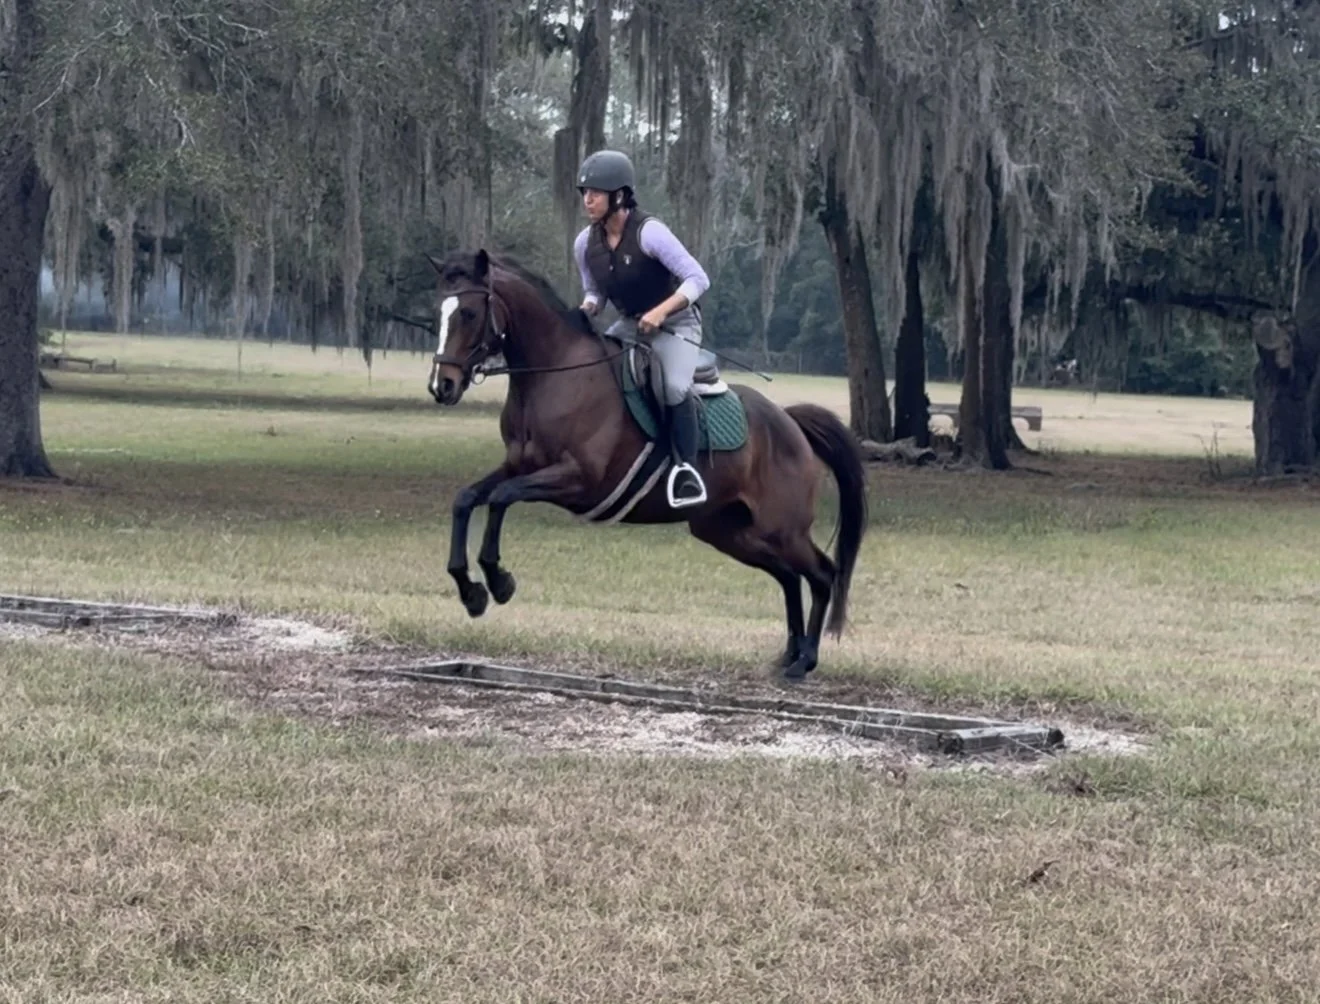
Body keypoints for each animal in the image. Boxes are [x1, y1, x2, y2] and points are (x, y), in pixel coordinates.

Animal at [425, 248, 868, 681]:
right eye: (438, 313)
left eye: (469, 313)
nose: (442, 386)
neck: (553, 374)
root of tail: (790, 422)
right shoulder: (519, 466)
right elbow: (466, 499)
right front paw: (471, 592)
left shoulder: (578, 480)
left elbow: (501, 497)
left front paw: (498, 581)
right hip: (727, 530)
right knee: (789, 576)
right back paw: (789, 655)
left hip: (782, 529)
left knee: (822, 574)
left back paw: (805, 660)